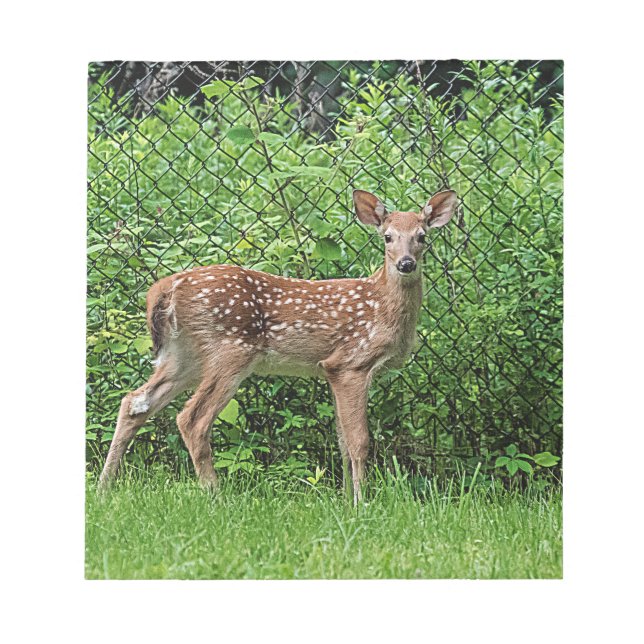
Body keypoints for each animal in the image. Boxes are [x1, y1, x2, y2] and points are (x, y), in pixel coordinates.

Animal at [98, 189, 458, 502]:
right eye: (387, 237)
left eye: (422, 236)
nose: (406, 264)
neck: (382, 306)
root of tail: (165, 288)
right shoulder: (351, 362)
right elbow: (359, 442)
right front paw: (362, 503)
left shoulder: (331, 370)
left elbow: (342, 441)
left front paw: (346, 501)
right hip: (230, 349)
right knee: (192, 419)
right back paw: (216, 496)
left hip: (184, 355)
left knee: (135, 402)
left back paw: (105, 487)